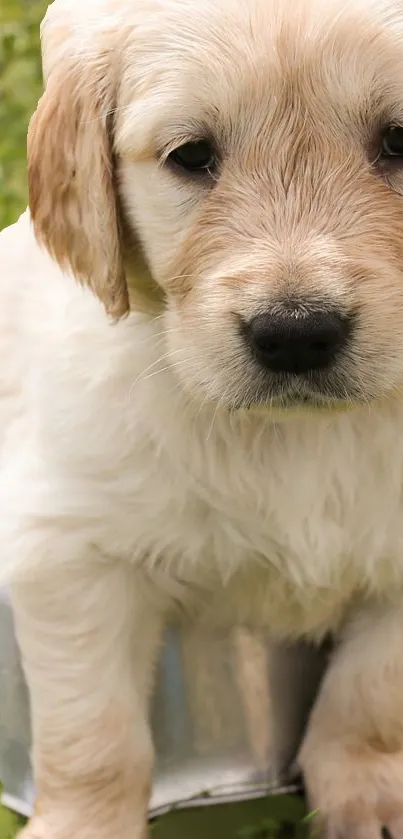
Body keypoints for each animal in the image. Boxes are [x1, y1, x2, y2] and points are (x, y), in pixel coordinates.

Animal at [3, 0, 403, 836]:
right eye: (191, 155)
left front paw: (368, 794)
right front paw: (84, 824)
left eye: (399, 140)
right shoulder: (67, 550)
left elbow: (370, 690)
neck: (301, 436)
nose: (295, 333)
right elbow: (94, 733)